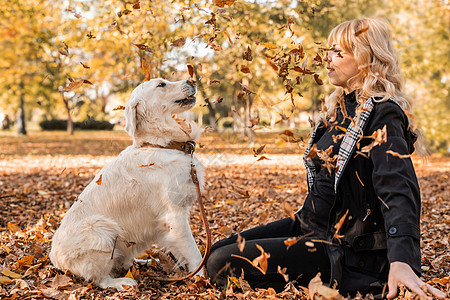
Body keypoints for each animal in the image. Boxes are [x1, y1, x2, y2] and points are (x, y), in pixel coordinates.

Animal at [49, 78, 204, 290]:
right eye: (161, 84)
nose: (192, 80)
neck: (161, 144)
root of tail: (54, 258)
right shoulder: (174, 216)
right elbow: (195, 253)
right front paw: (204, 277)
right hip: (101, 228)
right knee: (100, 279)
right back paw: (123, 282)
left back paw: (144, 261)